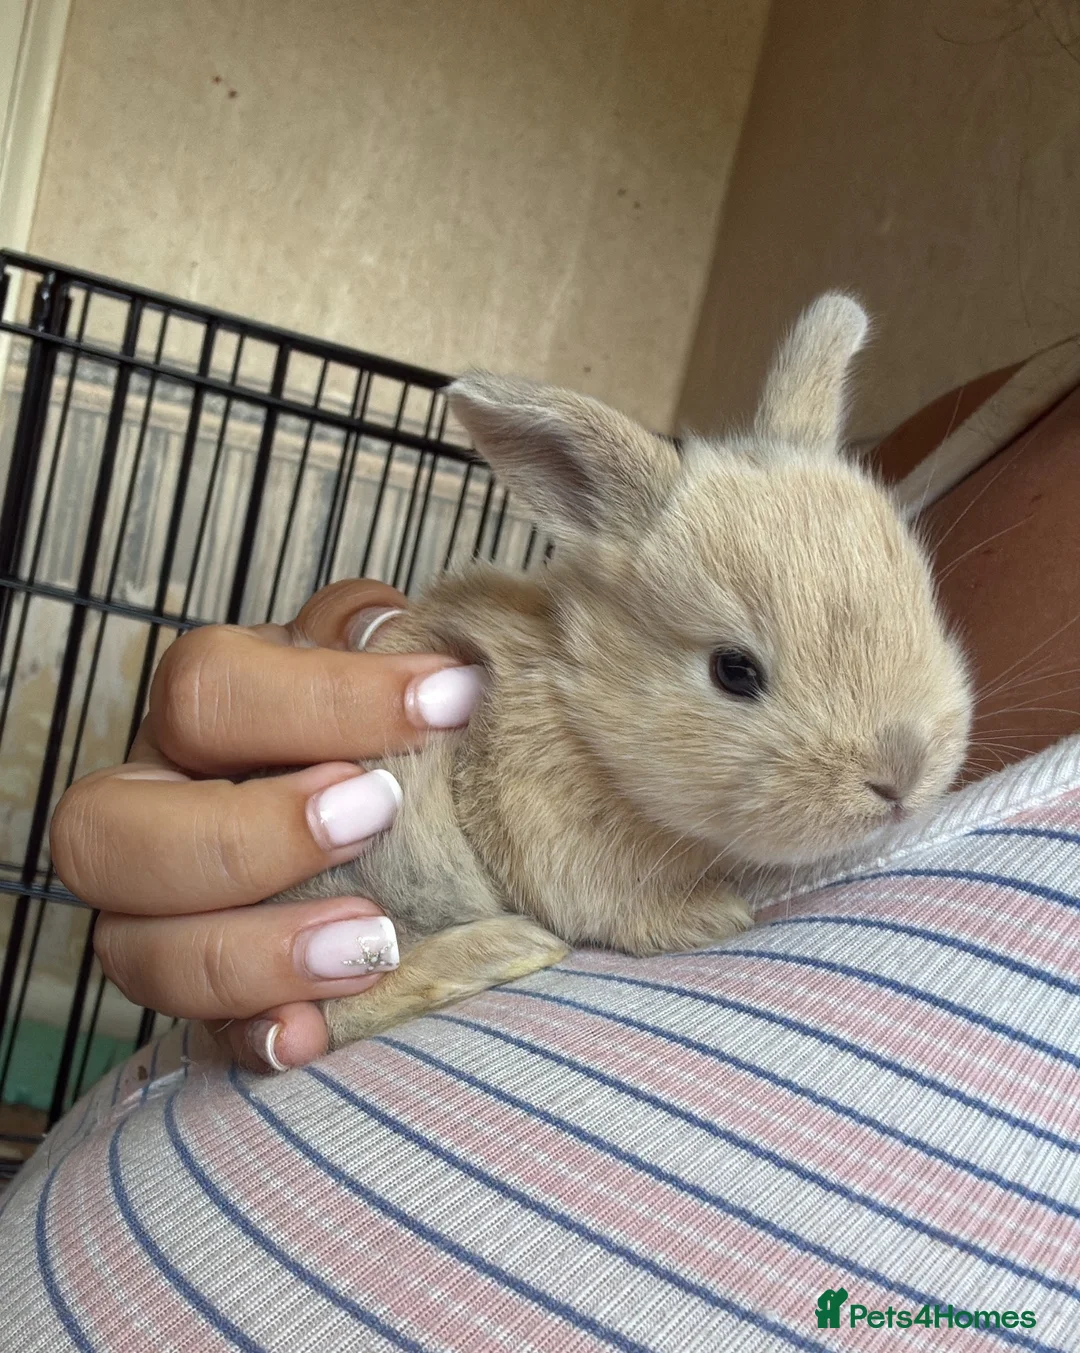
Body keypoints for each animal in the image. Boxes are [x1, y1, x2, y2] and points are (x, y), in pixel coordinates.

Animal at [278, 293, 973, 1049]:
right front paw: (712, 915)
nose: (900, 778)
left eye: (924, 601)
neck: (585, 718)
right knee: (340, 1002)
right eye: (733, 670)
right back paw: (510, 948)